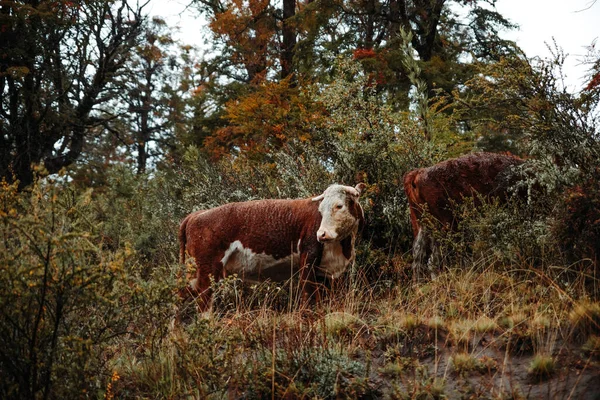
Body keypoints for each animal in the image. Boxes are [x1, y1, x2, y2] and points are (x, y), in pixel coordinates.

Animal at [178, 183, 366, 310]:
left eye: (339, 205)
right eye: (320, 209)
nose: (321, 234)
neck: (341, 248)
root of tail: (195, 215)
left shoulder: (325, 273)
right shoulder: (308, 258)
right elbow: (308, 294)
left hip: (194, 272)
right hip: (207, 271)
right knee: (204, 303)